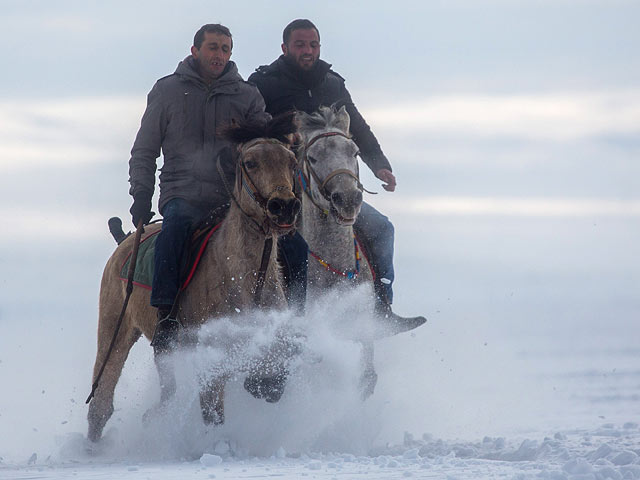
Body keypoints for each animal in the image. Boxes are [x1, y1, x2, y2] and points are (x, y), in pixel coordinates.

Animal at [85, 115, 302, 442]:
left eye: (291, 161)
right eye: (250, 163)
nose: (284, 206)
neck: (246, 279)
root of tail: (124, 241)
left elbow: (270, 382)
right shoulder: (210, 357)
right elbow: (213, 412)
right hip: (115, 331)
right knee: (101, 402)